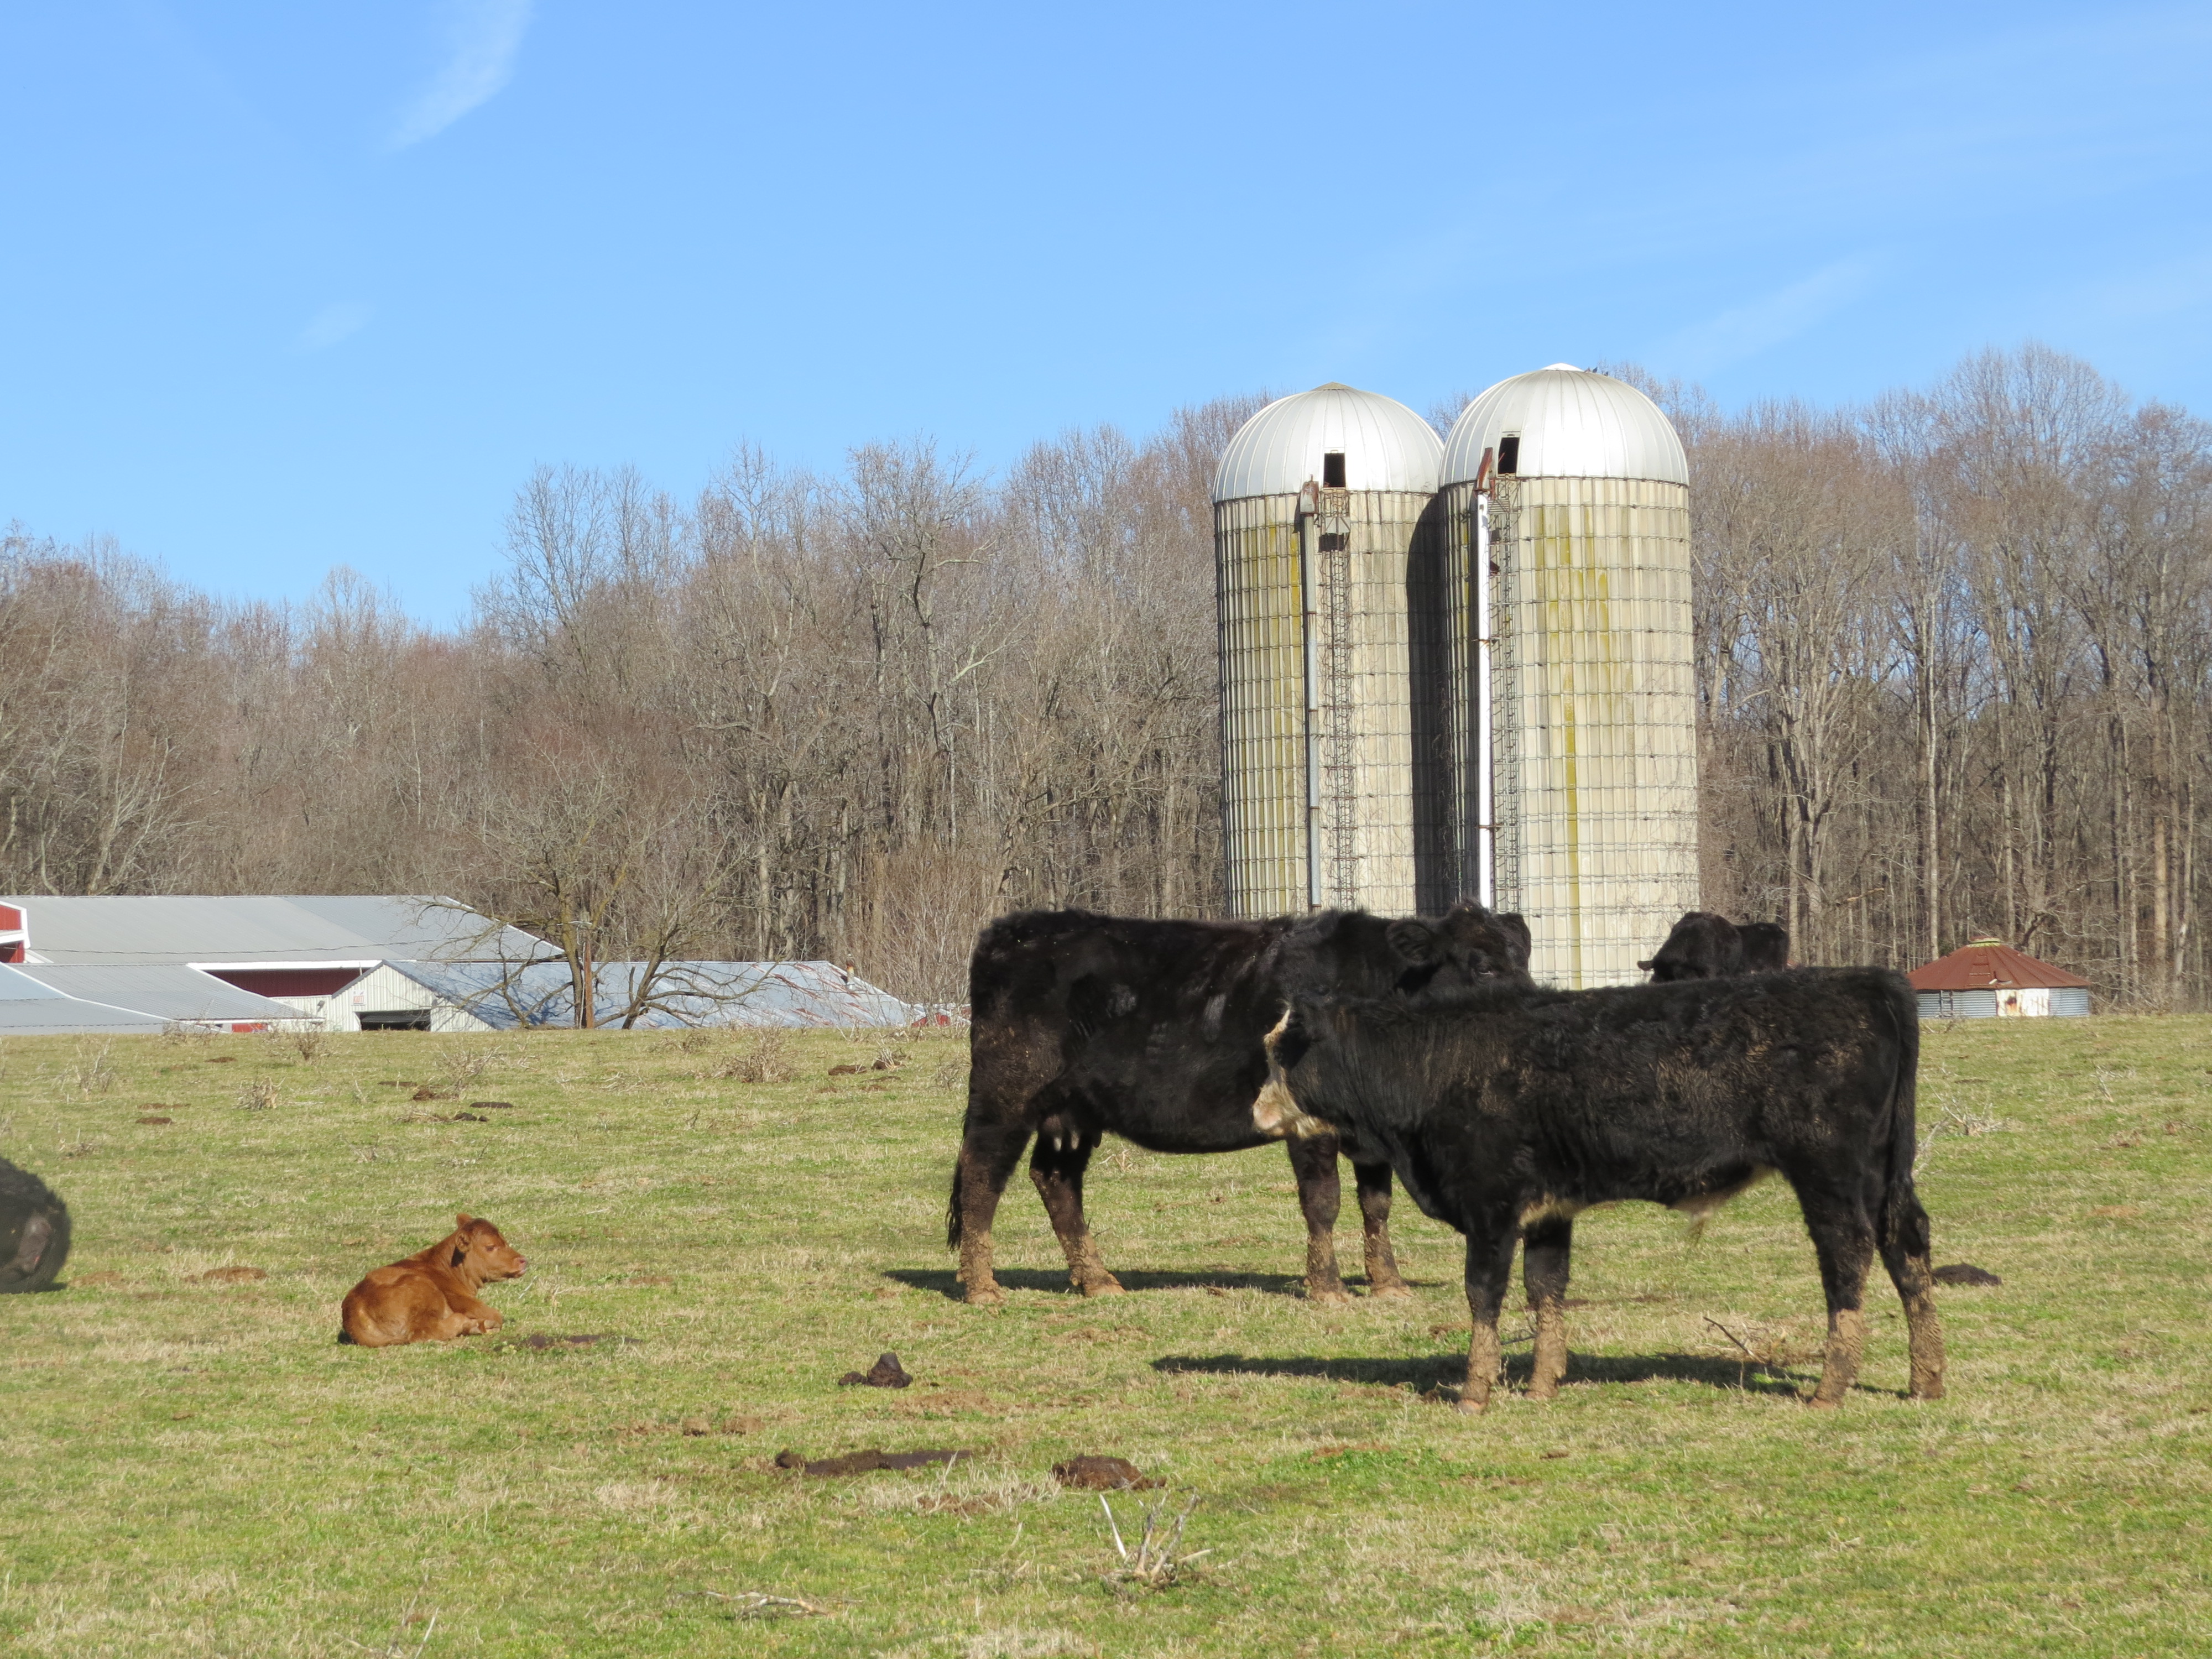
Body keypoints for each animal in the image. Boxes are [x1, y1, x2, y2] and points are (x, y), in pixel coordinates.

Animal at [339, 1214, 527, 1347]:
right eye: (490, 1247)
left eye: (505, 1241)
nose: (523, 1260)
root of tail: (356, 1304)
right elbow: (496, 1314)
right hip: (423, 1289)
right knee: (423, 1332)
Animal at [948, 902, 1533, 1307]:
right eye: (1482, 966)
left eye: (1523, 956)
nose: (1533, 1006)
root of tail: (1014, 930)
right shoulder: (1310, 1122)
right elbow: (1324, 1203)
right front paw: (1328, 1288)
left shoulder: (1371, 1135)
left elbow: (1377, 1205)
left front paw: (1388, 1284)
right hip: (1006, 1094)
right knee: (982, 1174)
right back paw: (982, 1287)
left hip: (1072, 1113)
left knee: (1056, 1181)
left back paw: (1098, 1281)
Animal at [1252, 968, 1945, 1412]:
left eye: (1282, 1050)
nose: (1256, 1110)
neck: (1435, 1063)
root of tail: (1866, 980)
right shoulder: (1547, 1212)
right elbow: (1545, 1288)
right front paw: (1541, 1386)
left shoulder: (1490, 1207)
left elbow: (1484, 1295)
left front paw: (1475, 1393)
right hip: (1884, 1174)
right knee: (1906, 1247)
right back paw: (1925, 1380)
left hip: (1829, 1174)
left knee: (1848, 1257)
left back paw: (1830, 1389)